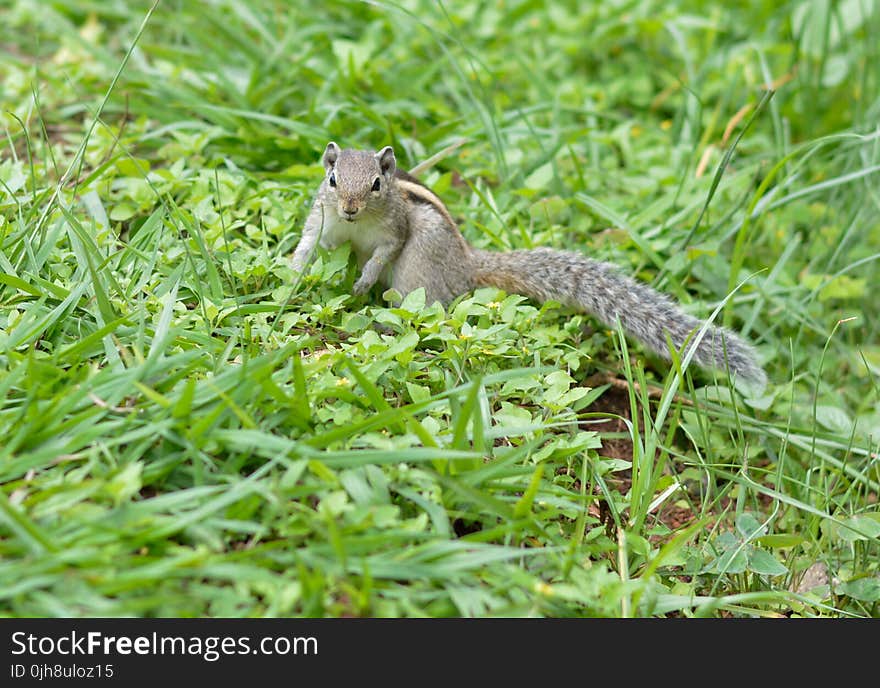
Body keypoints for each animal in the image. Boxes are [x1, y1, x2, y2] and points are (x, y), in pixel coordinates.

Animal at [292, 141, 768, 388]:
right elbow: (309, 245)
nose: (350, 208)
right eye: (333, 179)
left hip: (418, 269)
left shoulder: (396, 230)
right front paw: (295, 276)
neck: (356, 225)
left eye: (376, 184)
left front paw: (363, 281)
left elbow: (384, 251)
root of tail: (466, 265)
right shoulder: (323, 221)